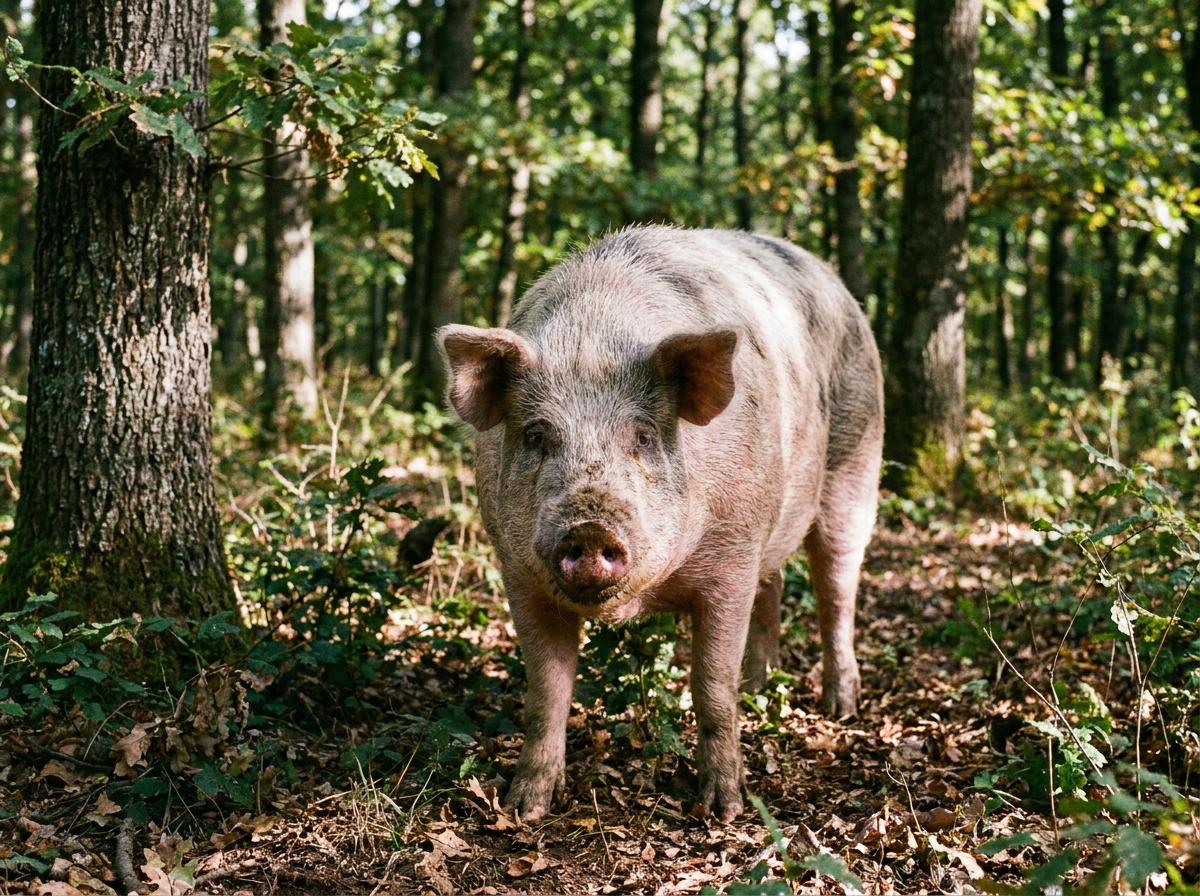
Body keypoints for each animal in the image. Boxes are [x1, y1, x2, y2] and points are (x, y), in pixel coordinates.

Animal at [438, 226, 883, 822]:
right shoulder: (518, 571)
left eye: (644, 435)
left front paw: (723, 809)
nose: (589, 527)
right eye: (535, 435)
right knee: (774, 589)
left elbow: (711, 686)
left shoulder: (732, 556)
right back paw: (760, 684)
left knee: (836, 589)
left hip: (855, 468)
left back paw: (841, 708)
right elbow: (545, 691)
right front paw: (524, 807)